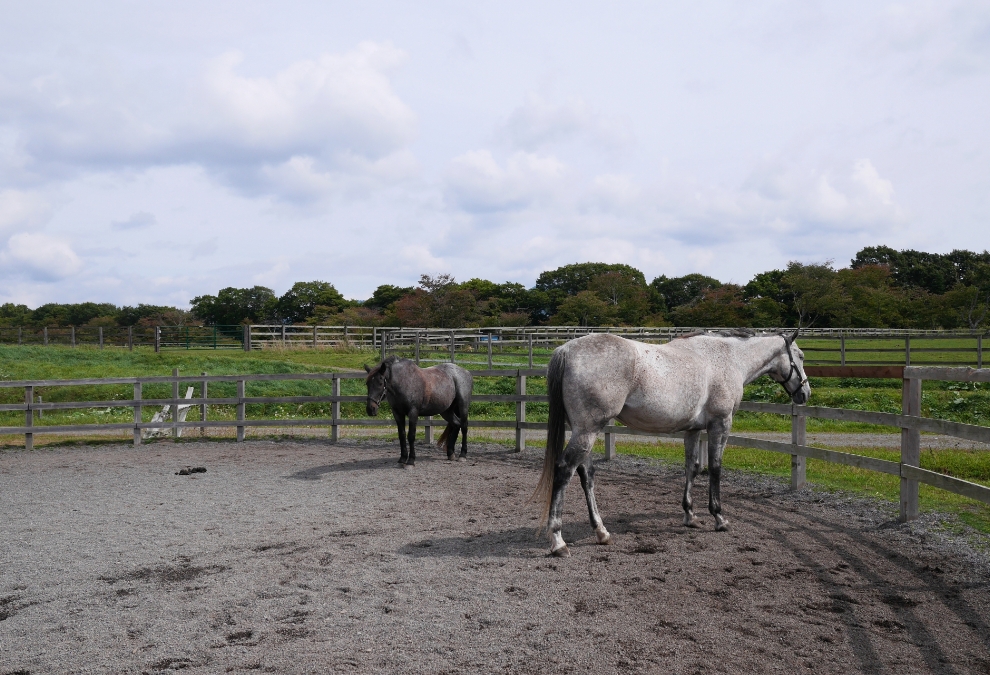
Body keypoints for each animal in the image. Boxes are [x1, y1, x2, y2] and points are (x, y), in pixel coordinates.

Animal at [534, 329, 810, 557]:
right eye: (801, 356)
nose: (805, 394)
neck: (729, 358)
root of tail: (566, 349)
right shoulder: (720, 424)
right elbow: (715, 468)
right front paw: (719, 517)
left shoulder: (693, 430)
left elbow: (692, 467)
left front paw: (690, 515)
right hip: (588, 431)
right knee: (564, 471)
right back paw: (558, 541)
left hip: (584, 431)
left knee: (586, 475)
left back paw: (601, 532)